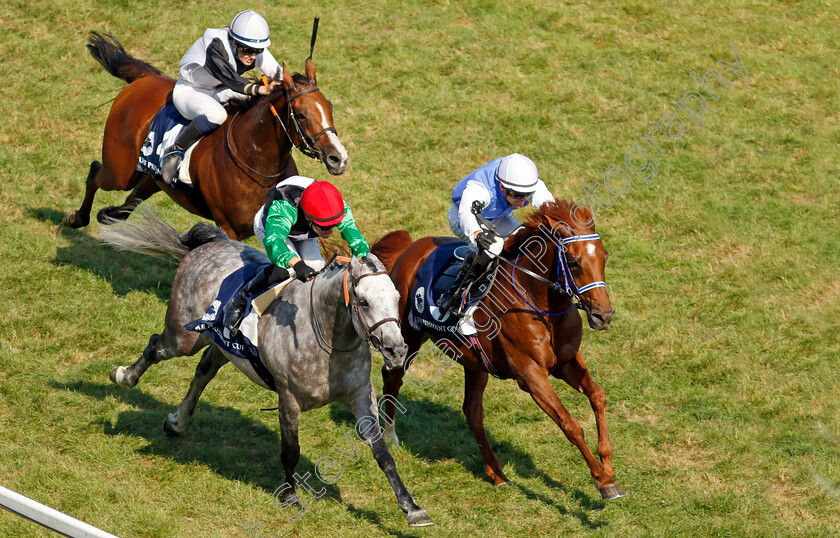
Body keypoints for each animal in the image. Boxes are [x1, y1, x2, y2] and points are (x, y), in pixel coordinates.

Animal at [61, 30, 344, 237]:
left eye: (329, 107)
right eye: (302, 114)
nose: (338, 158)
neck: (256, 163)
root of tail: (145, 79)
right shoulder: (228, 229)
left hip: (152, 178)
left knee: (129, 201)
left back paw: (107, 215)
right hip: (120, 171)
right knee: (96, 172)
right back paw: (76, 218)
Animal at [98, 208, 434, 524]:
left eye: (397, 297)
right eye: (363, 302)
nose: (396, 349)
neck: (328, 341)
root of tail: (212, 243)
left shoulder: (361, 394)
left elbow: (381, 451)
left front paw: (412, 507)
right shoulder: (289, 399)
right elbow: (290, 450)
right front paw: (290, 496)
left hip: (222, 346)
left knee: (203, 371)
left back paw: (176, 421)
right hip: (183, 338)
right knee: (157, 345)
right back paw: (124, 376)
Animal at [370, 199, 628, 500]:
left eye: (604, 257)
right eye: (574, 263)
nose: (603, 315)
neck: (538, 301)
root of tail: (410, 247)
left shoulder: (566, 363)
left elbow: (598, 396)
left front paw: (608, 466)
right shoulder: (530, 375)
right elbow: (570, 425)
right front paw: (603, 480)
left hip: (474, 362)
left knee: (472, 411)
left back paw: (497, 474)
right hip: (407, 338)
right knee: (392, 379)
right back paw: (391, 437)